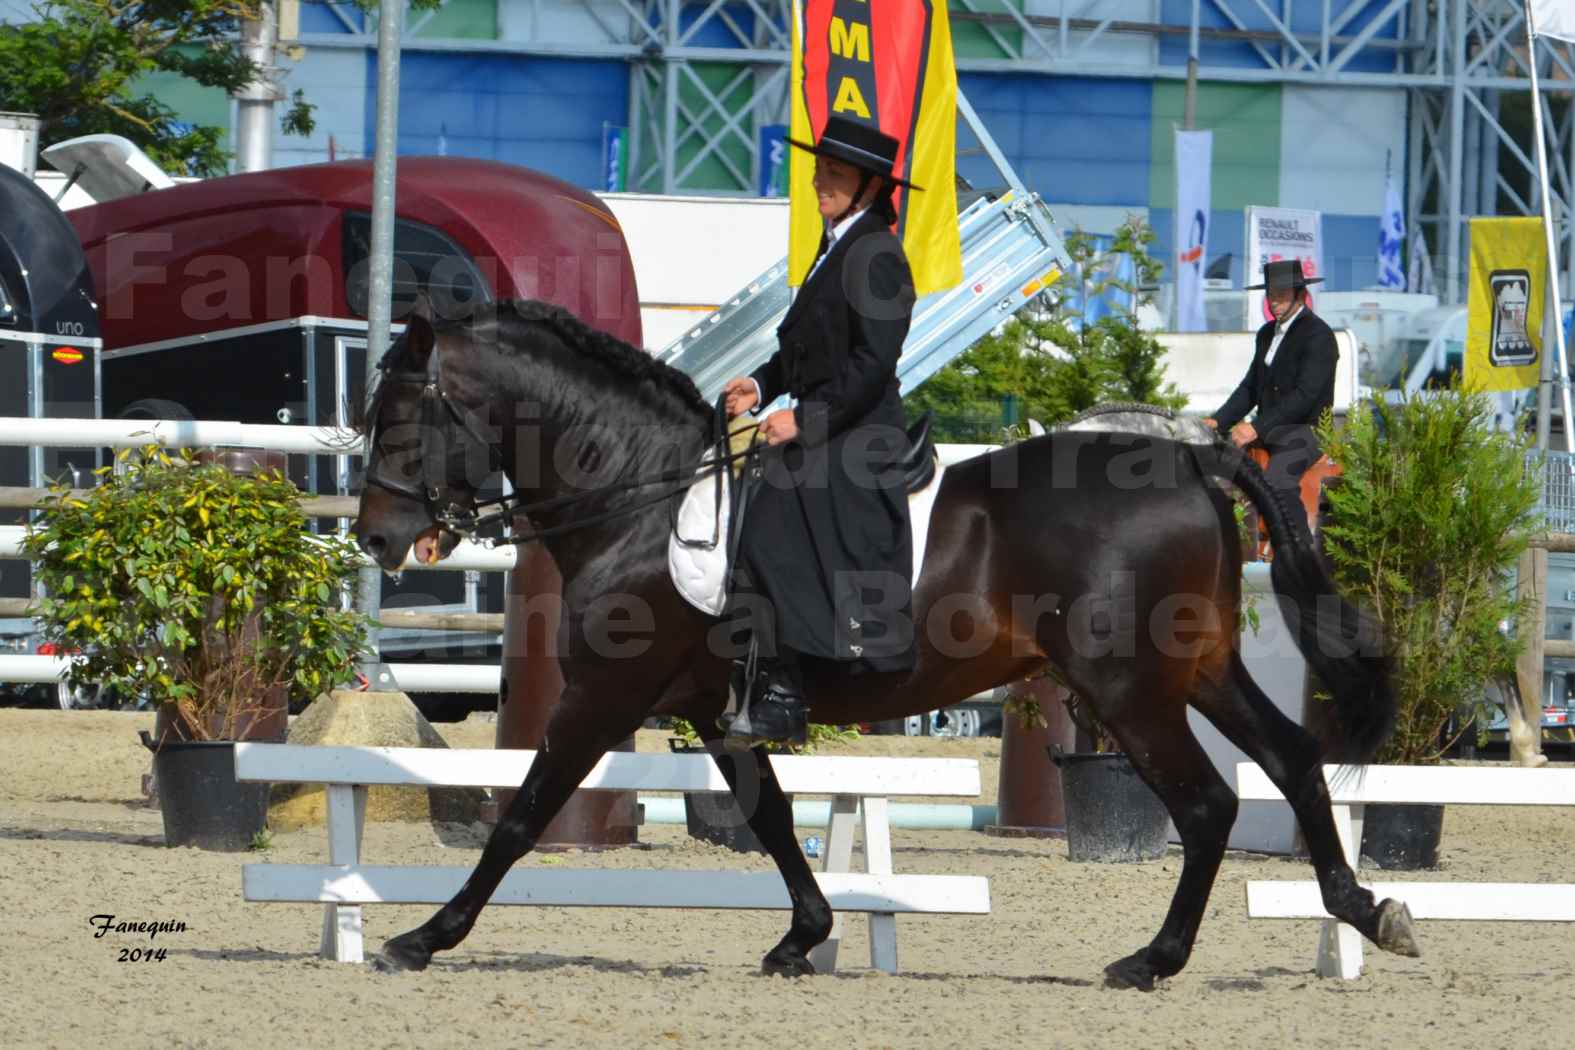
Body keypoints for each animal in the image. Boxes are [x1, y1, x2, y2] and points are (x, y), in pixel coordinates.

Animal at [351, 299, 1423, 988]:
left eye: (400, 416)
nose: (375, 539)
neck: (641, 498)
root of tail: (1196, 461)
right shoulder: (713, 708)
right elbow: (771, 818)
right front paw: (803, 939)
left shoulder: (607, 696)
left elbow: (523, 815)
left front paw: (423, 938)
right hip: (1196, 669)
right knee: (1291, 760)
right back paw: (1365, 910)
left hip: (1127, 687)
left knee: (1205, 803)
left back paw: (1151, 961)